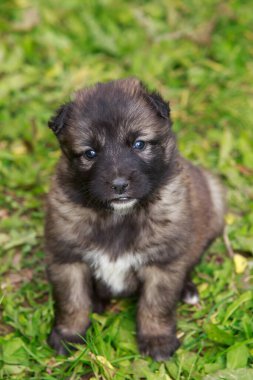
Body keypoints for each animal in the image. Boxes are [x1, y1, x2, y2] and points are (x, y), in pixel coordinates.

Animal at [45, 77, 225, 360]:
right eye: (90, 153)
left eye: (139, 144)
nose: (119, 185)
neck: (119, 216)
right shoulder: (67, 259)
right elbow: (72, 302)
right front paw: (69, 335)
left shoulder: (162, 264)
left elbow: (155, 305)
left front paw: (157, 340)